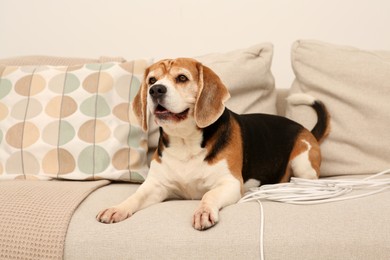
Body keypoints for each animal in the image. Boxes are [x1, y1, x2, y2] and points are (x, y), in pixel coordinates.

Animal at [96, 58, 330, 230]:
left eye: (182, 77)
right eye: (152, 80)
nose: (156, 90)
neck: (185, 143)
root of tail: (306, 129)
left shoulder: (229, 184)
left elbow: (209, 195)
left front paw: (203, 211)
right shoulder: (157, 186)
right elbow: (135, 196)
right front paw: (117, 208)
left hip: (303, 163)